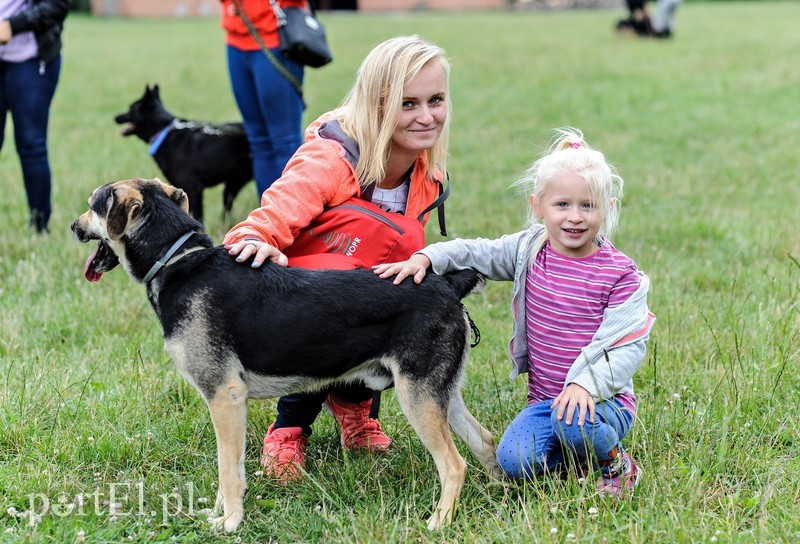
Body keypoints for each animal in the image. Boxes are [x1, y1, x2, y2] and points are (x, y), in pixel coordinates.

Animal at [73, 178, 500, 532]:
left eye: (94, 205)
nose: (74, 227)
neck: (179, 261)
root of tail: (446, 283)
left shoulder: (225, 397)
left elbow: (228, 470)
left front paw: (230, 523)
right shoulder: (229, 404)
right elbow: (229, 468)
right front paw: (220, 513)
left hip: (418, 398)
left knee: (455, 465)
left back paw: (439, 522)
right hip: (440, 394)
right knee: (485, 440)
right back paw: (501, 490)